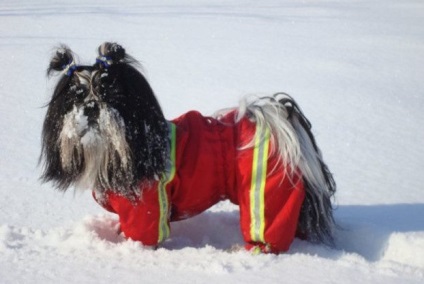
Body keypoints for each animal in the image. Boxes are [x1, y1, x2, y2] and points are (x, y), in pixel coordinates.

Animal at [41, 42, 336, 253]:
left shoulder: (147, 207)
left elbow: (144, 236)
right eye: (76, 97)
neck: (118, 151)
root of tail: (283, 120)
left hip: (267, 194)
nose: (91, 107)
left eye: (110, 95)